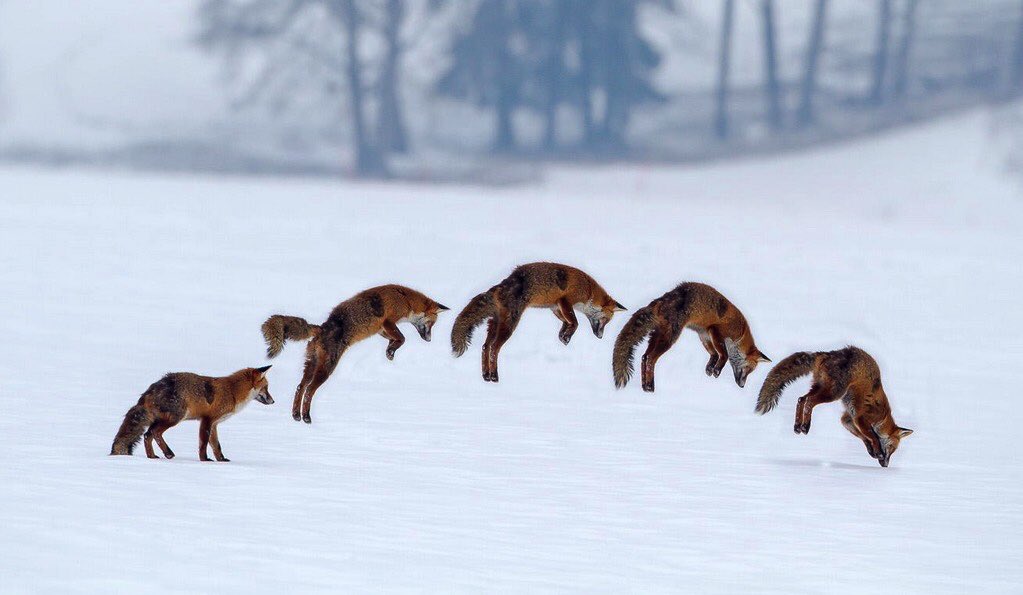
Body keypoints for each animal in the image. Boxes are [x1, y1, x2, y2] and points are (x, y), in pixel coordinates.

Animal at [110, 365, 274, 462]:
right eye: (266, 388)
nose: (273, 401)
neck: (232, 392)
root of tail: (153, 388)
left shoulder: (214, 424)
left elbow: (216, 445)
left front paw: (221, 460)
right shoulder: (207, 420)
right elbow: (203, 443)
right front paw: (204, 460)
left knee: (147, 435)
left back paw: (152, 456)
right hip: (175, 418)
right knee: (154, 433)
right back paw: (167, 453)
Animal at [261, 284, 448, 424]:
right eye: (432, 324)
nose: (429, 340)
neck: (406, 299)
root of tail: (322, 327)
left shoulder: (381, 329)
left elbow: (396, 339)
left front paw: (390, 350)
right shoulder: (388, 321)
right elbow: (402, 338)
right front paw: (391, 351)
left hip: (311, 364)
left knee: (300, 387)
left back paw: (296, 415)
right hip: (326, 369)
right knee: (309, 390)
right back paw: (306, 417)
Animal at [451, 262, 626, 382]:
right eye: (606, 320)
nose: (600, 336)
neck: (589, 289)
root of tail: (502, 285)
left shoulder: (555, 306)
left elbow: (566, 321)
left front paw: (563, 335)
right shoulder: (565, 300)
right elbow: (575, 322)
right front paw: (567, 336)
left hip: (495, 324)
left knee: (485, 347)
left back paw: (486, 375)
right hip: (509, 325)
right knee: (494, 348)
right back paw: (494, 375)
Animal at [613, 282, 770, 393]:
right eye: (749, 369)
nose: (742, 386)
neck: (741, 332)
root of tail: (662, 299)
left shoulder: (704, 334)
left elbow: (713, 353)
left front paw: (710, 368)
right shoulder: (715, 331)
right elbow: (723, 354)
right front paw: (717, 370)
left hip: (657, 335)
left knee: (644, 357)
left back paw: (645, 386)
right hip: (670, 338)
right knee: (651, 359)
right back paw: (650, 387)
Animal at [755, 346, 913, 467]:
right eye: (892, 448)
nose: (886, 465)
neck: (883, 417)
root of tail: (828, 353)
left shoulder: (848, 419)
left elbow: (863, 437)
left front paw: (871, 451)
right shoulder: (860, 417)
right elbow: (872, 436)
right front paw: (878, 451)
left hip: (821, 388)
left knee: (801, 399)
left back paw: (798, 426)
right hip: (834, 393)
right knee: (810, 401)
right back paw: (805, 426)